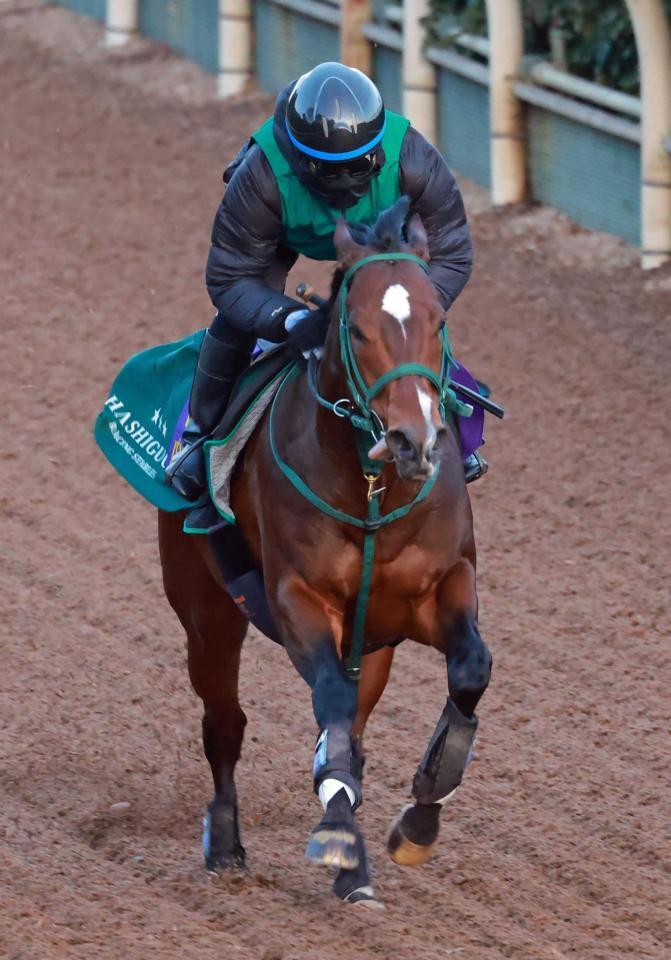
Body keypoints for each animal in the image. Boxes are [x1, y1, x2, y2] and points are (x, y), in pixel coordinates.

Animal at [159, 197, 494, 908]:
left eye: (438, 319)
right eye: (358, 329)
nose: (413, 438)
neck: (372, 491)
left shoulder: (437, 589)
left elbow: (470, 669)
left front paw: (420, 817)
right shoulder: (299, 600)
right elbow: (331, 711)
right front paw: (340, 832)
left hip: (374, 644)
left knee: (353, 725)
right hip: (207, 610)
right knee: (225, 722)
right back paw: (226, 844)